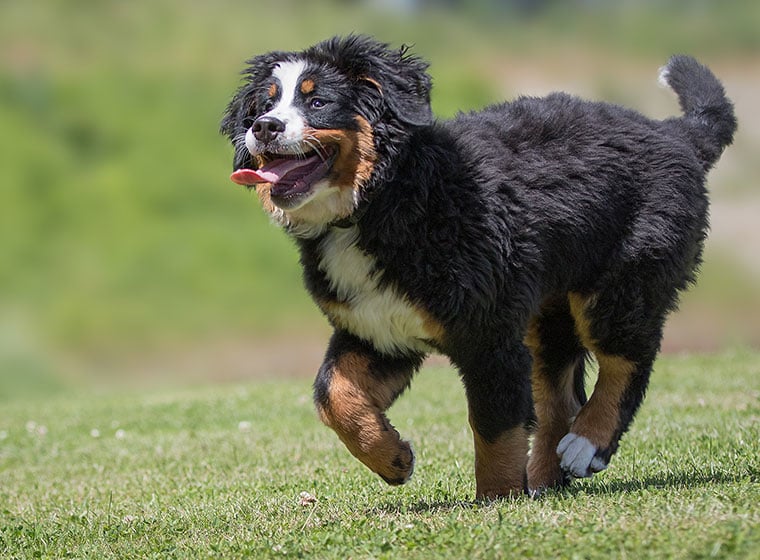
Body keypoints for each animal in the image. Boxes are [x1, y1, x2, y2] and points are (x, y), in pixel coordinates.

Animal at [221, 35, 736, 498]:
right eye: (264, 104)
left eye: (318, 101)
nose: (264, 127)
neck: (381, 201)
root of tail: (675, 133)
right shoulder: (376, 328)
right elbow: (333, 395)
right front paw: (392, 457)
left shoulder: (489, 333)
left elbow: (495, 427)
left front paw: (497, 500)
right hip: (548, 313)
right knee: (559, 398)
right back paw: (547, 481)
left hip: (621, 282)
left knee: (627, 361)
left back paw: (586, 445)